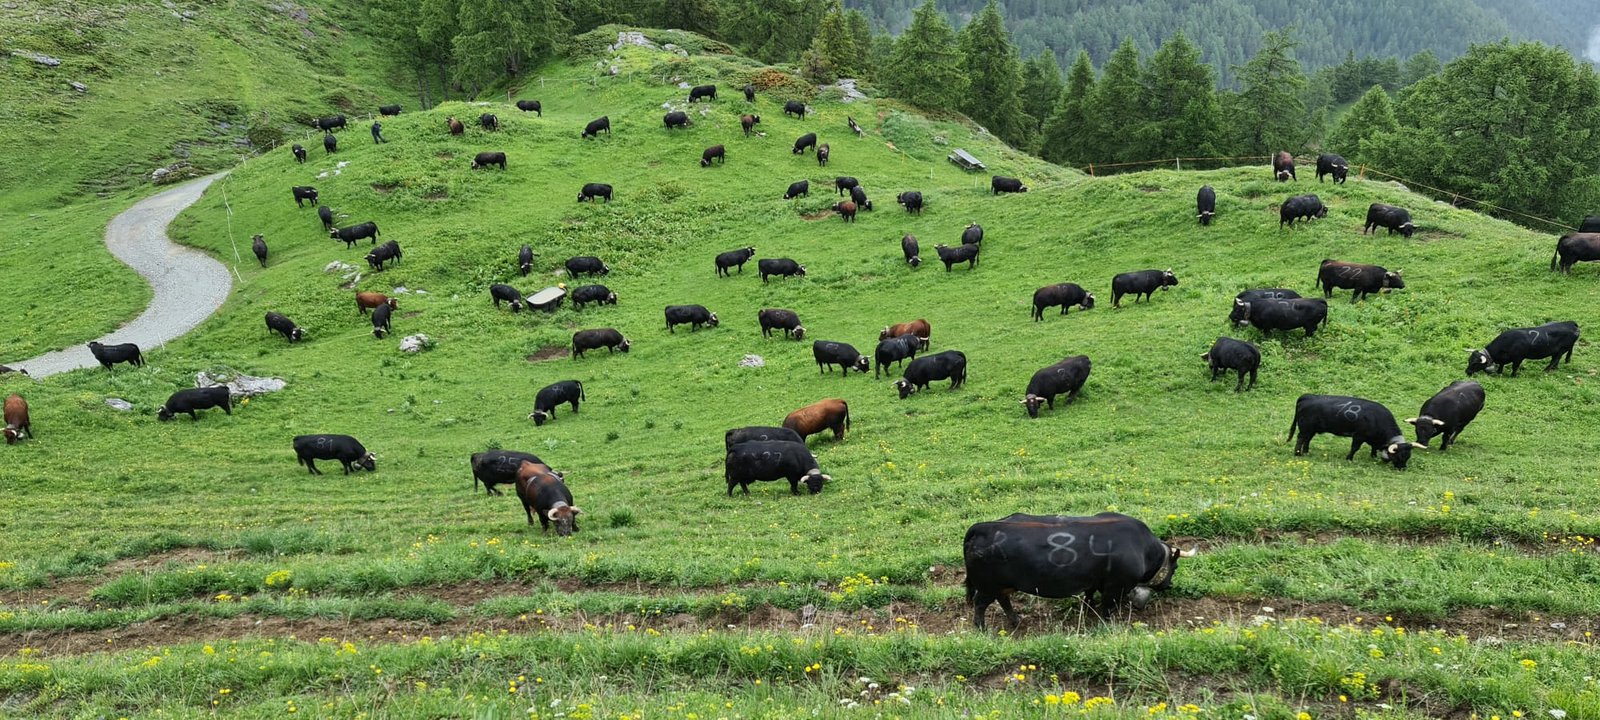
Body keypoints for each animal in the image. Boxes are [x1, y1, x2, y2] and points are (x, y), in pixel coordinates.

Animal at [964, 512, 1194, 628]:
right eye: (1175, 566)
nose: (1169, 585)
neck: (1144, 549)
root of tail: (981, 527)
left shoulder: (1095, 581)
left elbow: (1090, 595)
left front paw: (1089, 607)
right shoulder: (1116, 586)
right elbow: (1108, 606)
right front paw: (1108, 623)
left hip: (1003, 586)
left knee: (1003, 601)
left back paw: (1016, 621)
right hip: (988, 586)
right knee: (980, 604)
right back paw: (981, 627)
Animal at [1288, 394, 1423, 470]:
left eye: (1408, 456)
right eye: (1399, 456)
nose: (1403, 468)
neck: (1376, 419)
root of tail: (1308, 396)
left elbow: (1373, 447)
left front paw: (1373, 456)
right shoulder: (1358, 436)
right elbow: (1354, 448)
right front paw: (1349, 458)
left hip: (1311, 429)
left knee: (1307, 439)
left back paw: (1306, 452)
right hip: (1305, 428)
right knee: (1300, 439)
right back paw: (1298, 453)